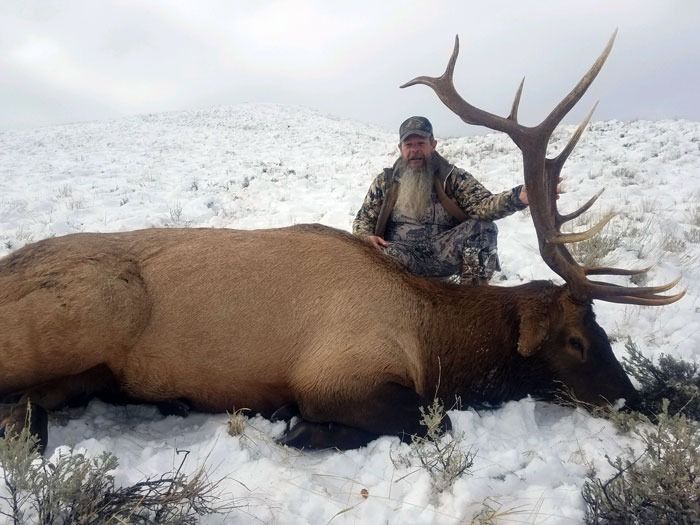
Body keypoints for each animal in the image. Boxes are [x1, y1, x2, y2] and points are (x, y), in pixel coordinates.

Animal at [0, 32, 684, 453]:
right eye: (576, 340)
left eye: (603, 331)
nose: (637, 401)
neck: (433, 342)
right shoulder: (337, 377)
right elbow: (427, 422)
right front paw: (298, 429)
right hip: (83, 317)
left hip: (83, 372)